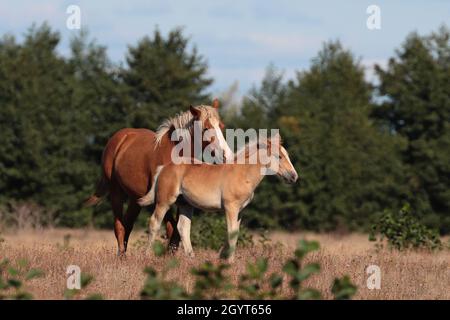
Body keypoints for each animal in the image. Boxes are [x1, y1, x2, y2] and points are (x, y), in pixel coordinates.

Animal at [85, 100, 232, 255]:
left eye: (221, 126)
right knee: (119, 226)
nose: (226, 156)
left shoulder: (182, 200)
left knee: (128, 225)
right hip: (116, 192)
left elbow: (177, 232)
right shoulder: (162, 198)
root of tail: (118, 138)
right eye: (206, 128)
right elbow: (171, 228)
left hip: (136, 199)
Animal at [137, 134, 298, 262]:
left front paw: (223, 257)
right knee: (154, 223)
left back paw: (191, 258)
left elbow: (235, 233)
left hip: (185, 204)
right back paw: (146, 255)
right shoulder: (230, 208)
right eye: (279, 156)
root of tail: (164, 167)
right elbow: (231, 233)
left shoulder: (240, 211)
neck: (242, 174)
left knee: (183, 227)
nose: (294, 176)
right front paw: (229, 261)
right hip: (164, 201)